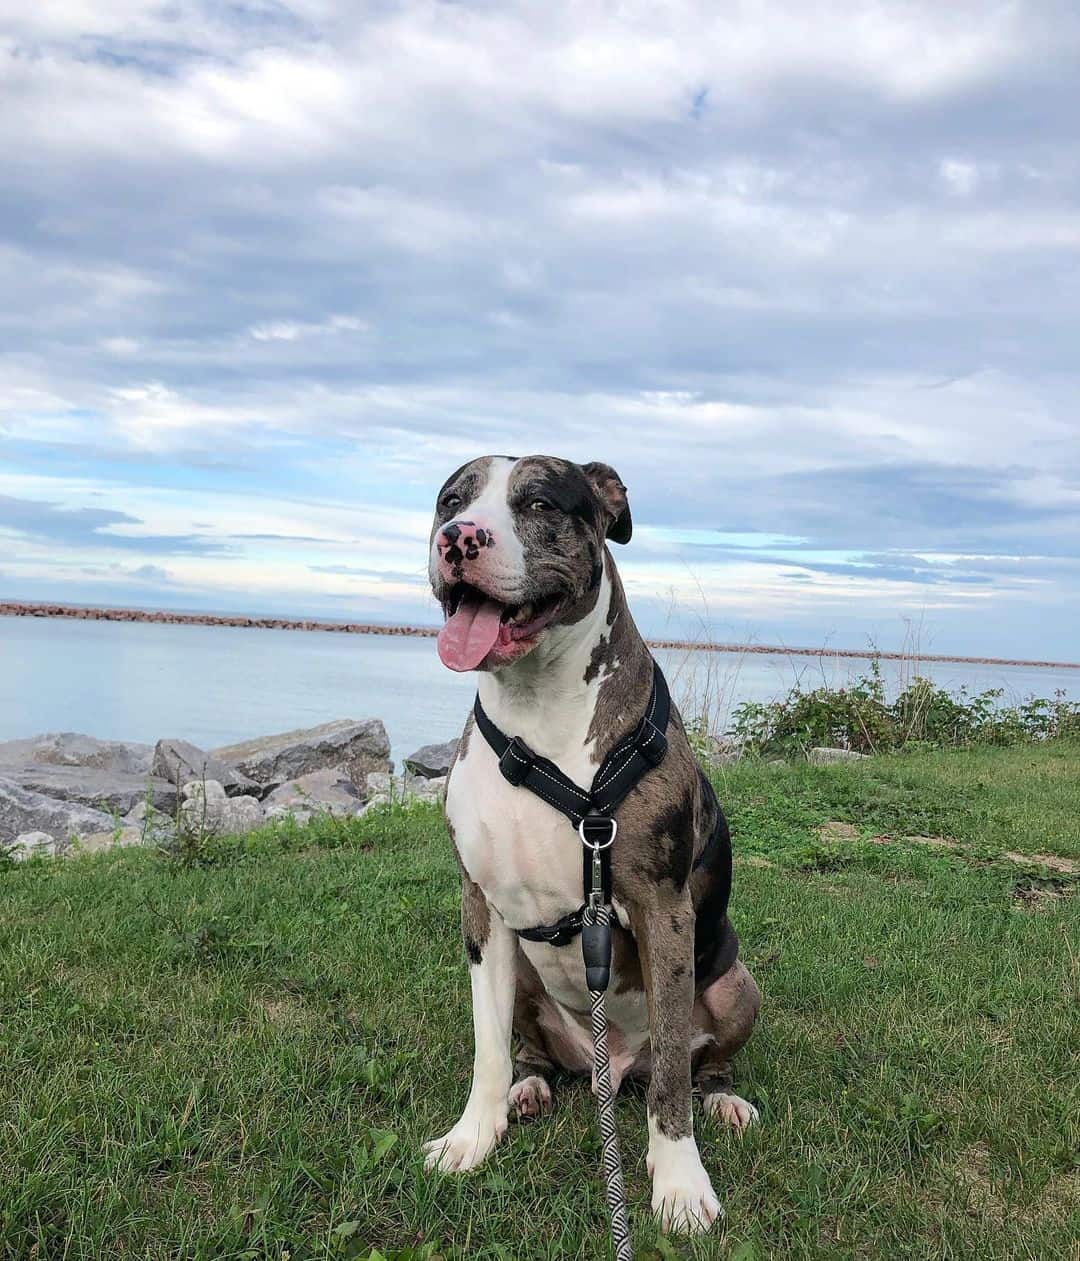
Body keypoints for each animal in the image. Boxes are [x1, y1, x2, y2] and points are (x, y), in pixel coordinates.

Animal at [421, 453, 757, 1230]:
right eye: (451, 500)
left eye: (541, 502)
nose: (458, 537)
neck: (536, 704)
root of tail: (615, 1065)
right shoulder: (480, 907)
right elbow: (487, 1046)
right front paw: (473, 1135)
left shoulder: (663, 910)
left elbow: (673, 1076)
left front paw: (679, 1181)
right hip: (527, 981)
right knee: (531, 1050)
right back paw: (531, 1086)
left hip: (736, 985)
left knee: (692, 1063)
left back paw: (724, 1098)